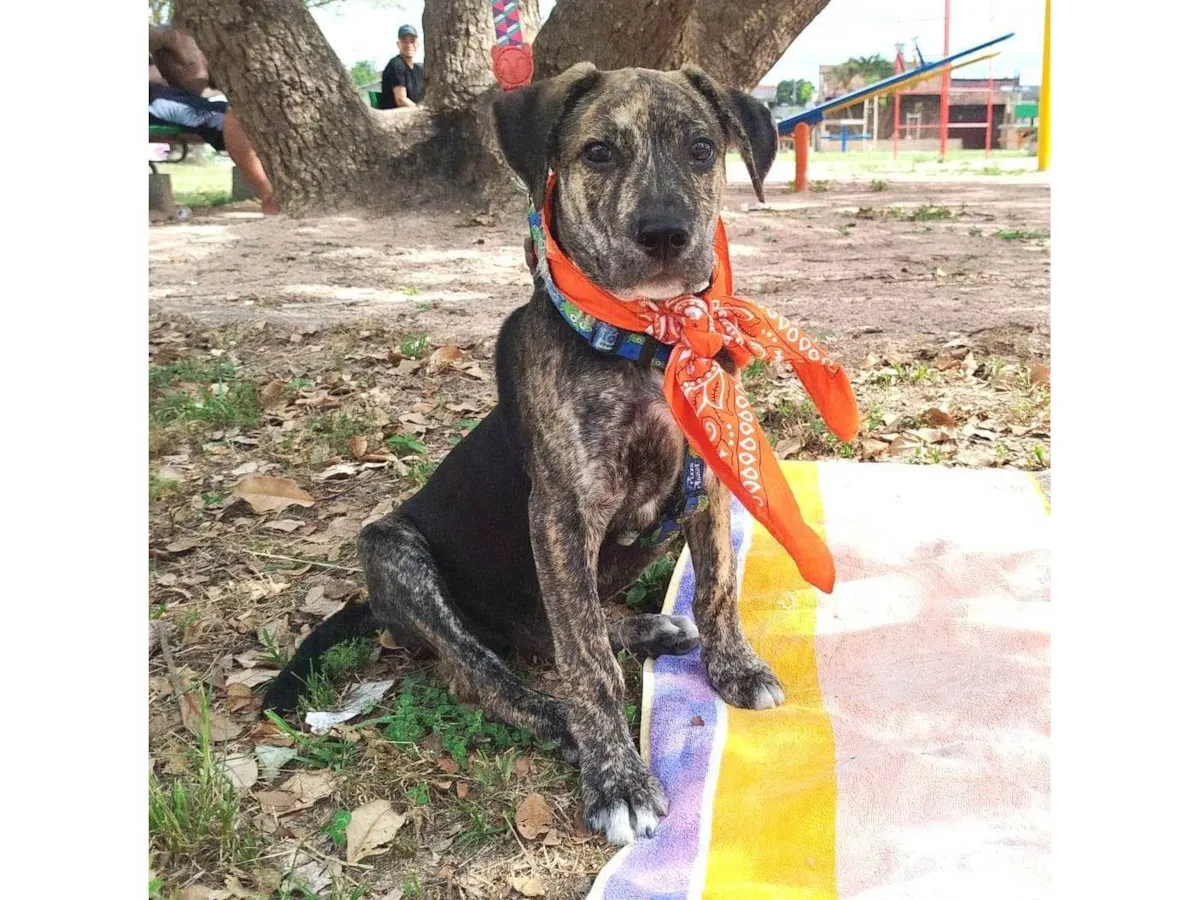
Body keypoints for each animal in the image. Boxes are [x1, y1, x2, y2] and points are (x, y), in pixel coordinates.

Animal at [263, 63, 782, 846]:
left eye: (701, 149)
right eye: (598, 153)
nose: (666, 233)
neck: (648, 340)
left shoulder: (711, 480)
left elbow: (718, 584)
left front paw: (736, 667)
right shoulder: (562, 517)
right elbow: (589, 666)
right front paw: (618, 780)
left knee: (553, 633)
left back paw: (647, 625)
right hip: (393, 549)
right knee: (493, 671)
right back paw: (560, 715)